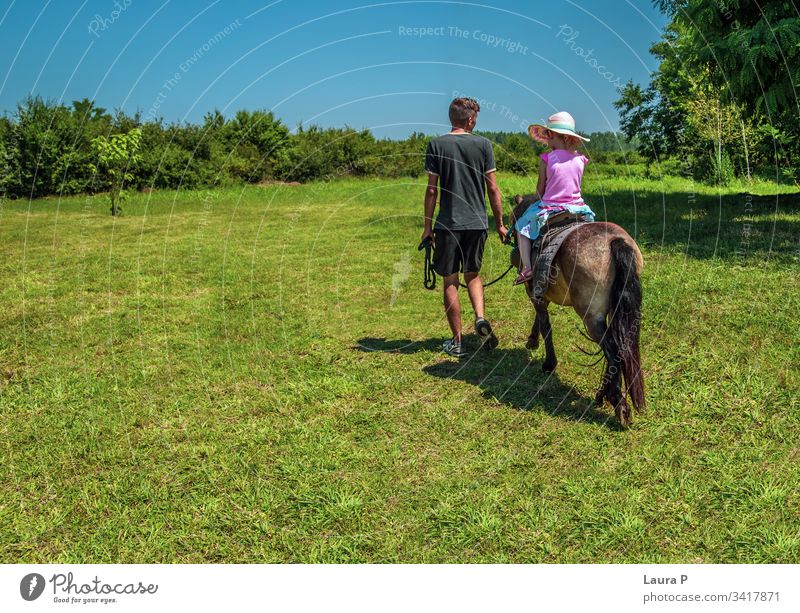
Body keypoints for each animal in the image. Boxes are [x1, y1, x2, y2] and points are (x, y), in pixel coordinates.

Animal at [512, 195, 644, 426]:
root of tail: (614, 242)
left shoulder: (534, 293)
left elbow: (545, 325)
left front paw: (548, 362)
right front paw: (532, 342)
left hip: (592, 317)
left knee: (613, 352)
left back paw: (618, 404)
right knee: (617, 350)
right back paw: (603, 395)